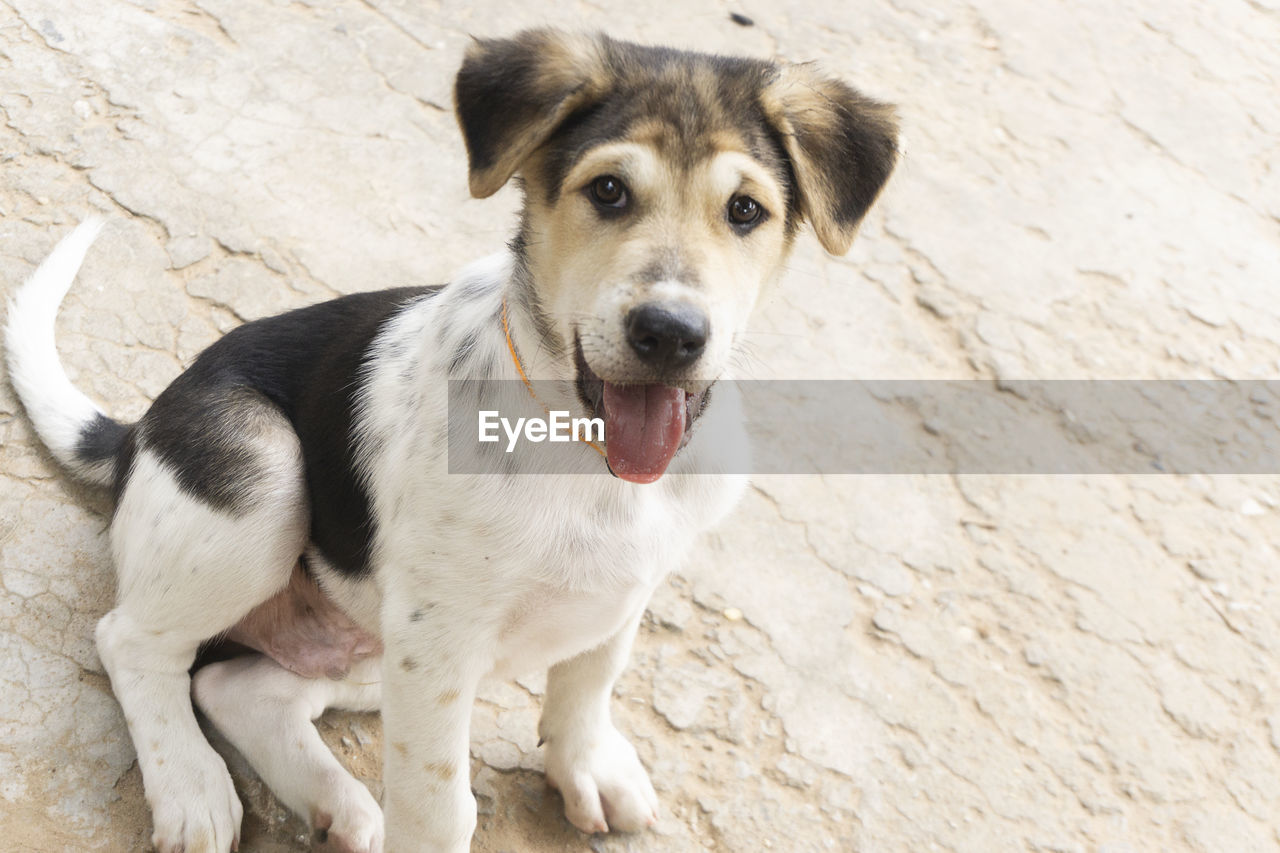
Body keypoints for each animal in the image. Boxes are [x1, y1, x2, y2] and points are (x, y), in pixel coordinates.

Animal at [2, 28, 901, 850]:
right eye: (609, 191)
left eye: (745, 210)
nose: (671, 333)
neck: (583, 451)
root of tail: (138, 431)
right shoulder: (440, 642)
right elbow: (441, 806)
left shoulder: (624, 586)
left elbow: (591, 676)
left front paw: (587, 763)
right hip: (259, 473)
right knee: (134, 643)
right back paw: (193, 788)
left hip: (369, 641)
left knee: (241, 688)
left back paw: (337, 806)